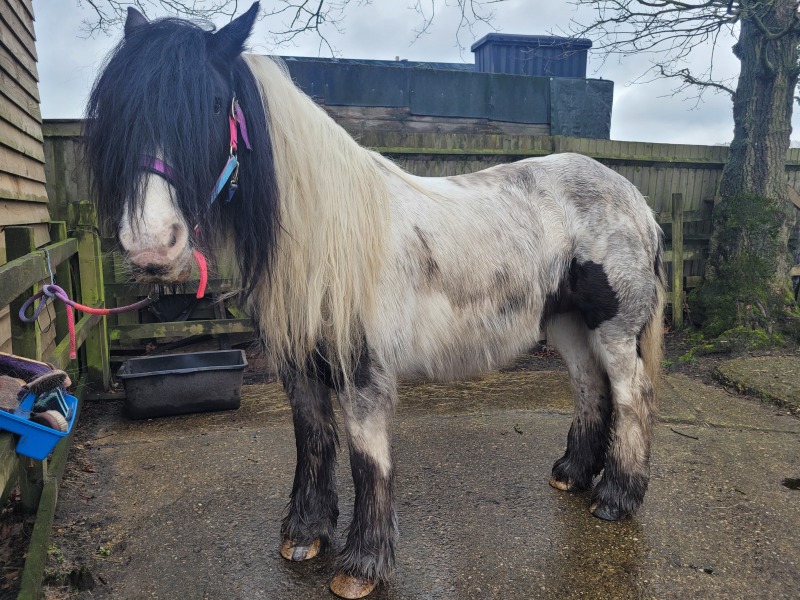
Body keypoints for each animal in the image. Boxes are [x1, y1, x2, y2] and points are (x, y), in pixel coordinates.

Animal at [85, 3, 664, 598]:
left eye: (211, 107)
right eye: (120, 116)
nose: (152, 247)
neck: (327, 237)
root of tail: (635, 201)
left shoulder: (363, 372)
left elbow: (368, 459)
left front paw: (361, 565)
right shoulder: (299, 367)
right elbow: (314, 441)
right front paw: (304, 535)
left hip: (614, 331)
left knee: (630, 396)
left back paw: (616, 498)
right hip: (569, 324)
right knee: (589, 388)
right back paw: (572, 475)